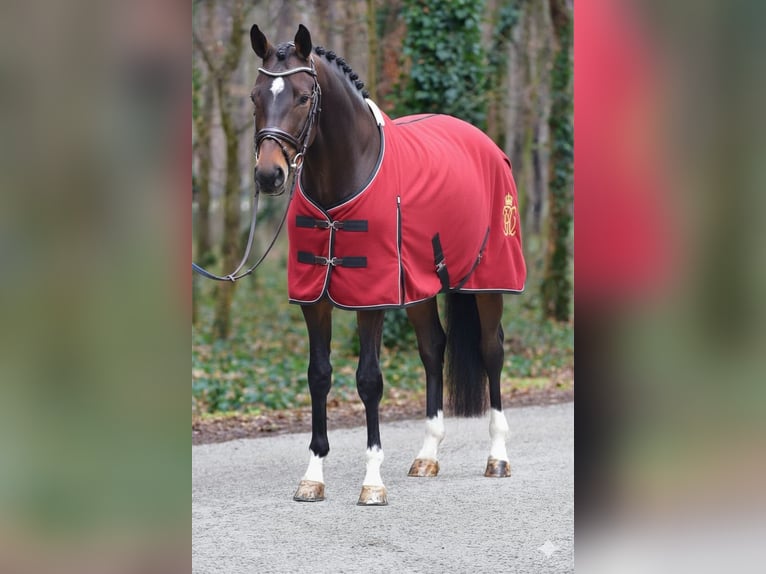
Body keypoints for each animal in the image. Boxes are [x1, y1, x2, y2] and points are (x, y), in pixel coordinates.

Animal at [249, 24, 526, 506]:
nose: (269, 175)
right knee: (434, 348)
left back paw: (497, 457)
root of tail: (487, 143)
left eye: (302, 97)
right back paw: (427, 456)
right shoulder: (314, 299)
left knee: (492, 351)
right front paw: (313, 475)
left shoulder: (372, 297)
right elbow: (319, 376)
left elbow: (369, 380)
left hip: (489, 282)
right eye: (255, 96)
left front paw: (372, 481)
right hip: (418, 288)